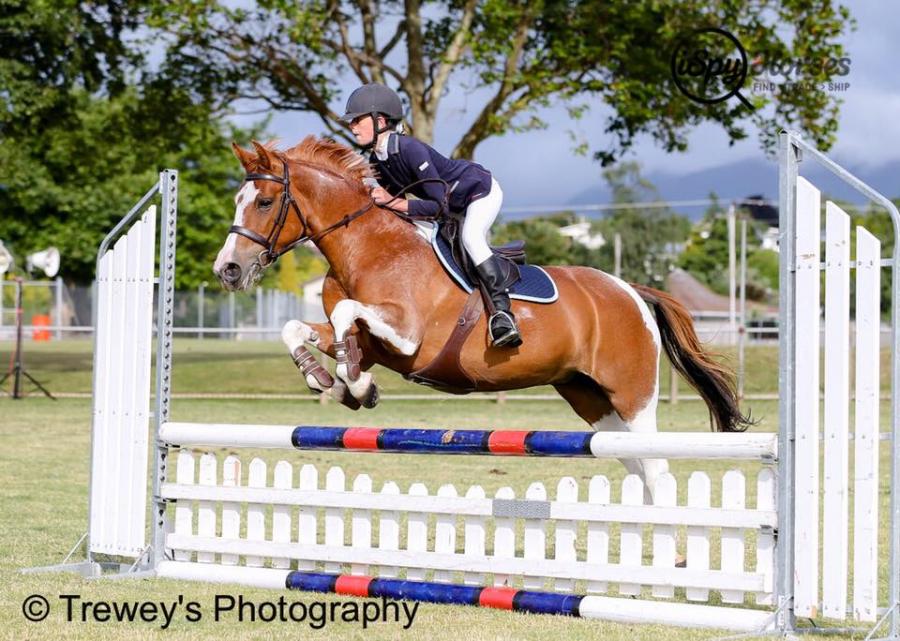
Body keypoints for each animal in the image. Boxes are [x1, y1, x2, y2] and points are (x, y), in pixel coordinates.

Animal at [213, 137, 750, 502]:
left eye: (264, 202)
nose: (228, 269)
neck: (367, 247)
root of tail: (631, 291)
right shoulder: (375, 341)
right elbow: (303, 330)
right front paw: (333, 381)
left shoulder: (407, 336)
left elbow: (347, 314)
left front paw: (355, 384)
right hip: (590, 398)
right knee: (635, 465)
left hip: (632, 394)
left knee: (656, 468)